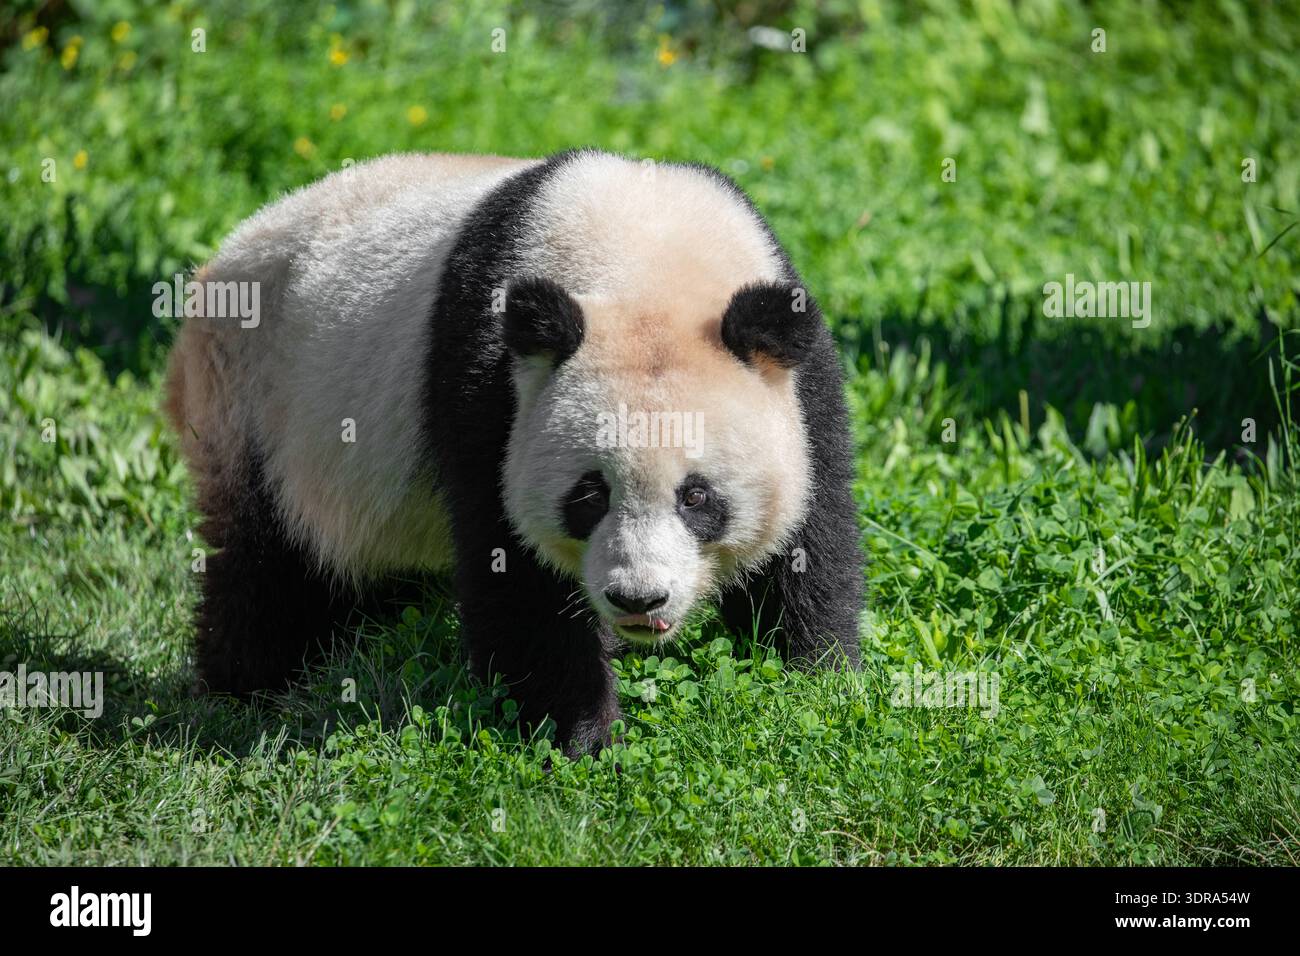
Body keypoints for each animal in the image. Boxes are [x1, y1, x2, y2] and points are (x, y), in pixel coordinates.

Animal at [163, 148, 863, 754]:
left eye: (697, 497)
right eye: (589, 495)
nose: (638, 600)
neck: (646, 259)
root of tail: (218, 264)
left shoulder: (802, 383)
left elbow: (810, 533)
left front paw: (815, 679)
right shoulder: (489, 382)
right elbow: (514, 563)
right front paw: (580, 732)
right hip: (256, 398)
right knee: (267, 564)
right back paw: (243, 687)